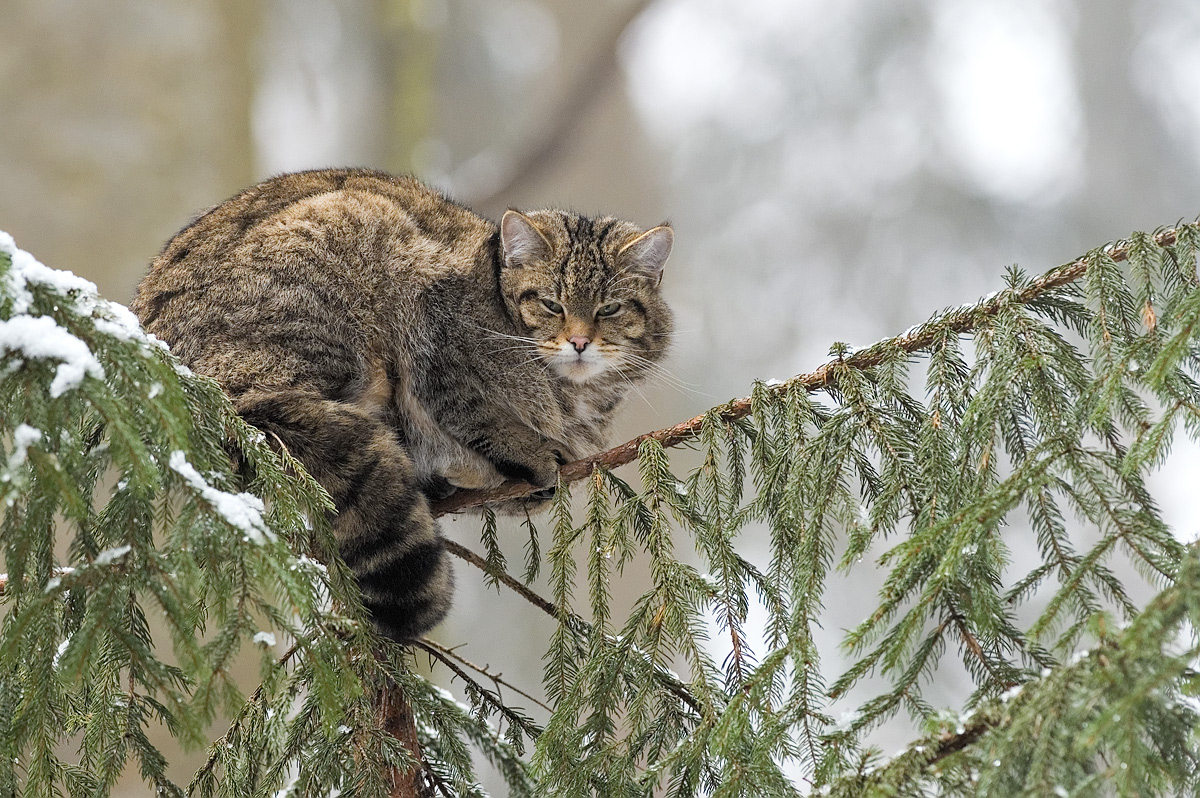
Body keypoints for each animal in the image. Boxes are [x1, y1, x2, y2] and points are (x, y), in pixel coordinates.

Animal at [135, 169, 676, 643]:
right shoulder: (434, 320)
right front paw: (525, 449)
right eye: (551, 304)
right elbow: (470, 405)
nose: (580, 342)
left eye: (609, 309)